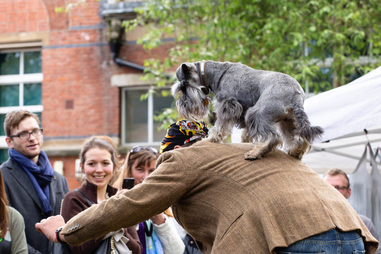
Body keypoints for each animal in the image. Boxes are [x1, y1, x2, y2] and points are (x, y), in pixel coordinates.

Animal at [171, 60, 322, 159]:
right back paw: (295, 151)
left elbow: (220, 127)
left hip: (257, 114)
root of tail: (296, 94)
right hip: (288, 121)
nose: (182, 104)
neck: (215, 74)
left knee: (272, 137)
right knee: (299, 138)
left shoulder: (227, 106)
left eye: (184, 86)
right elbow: (246, 133)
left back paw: (256, 153)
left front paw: (211, 139)